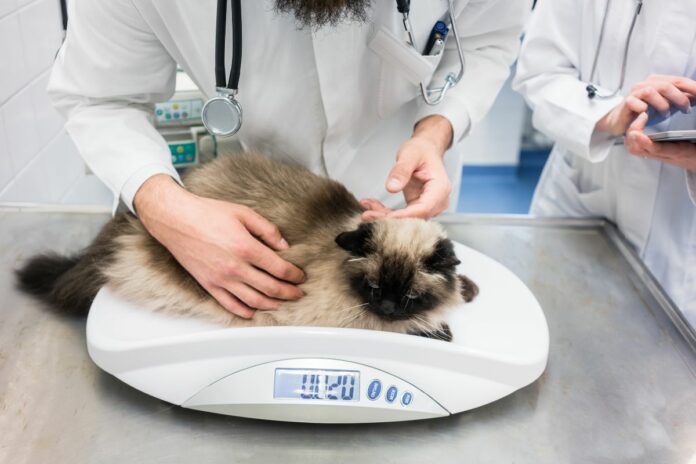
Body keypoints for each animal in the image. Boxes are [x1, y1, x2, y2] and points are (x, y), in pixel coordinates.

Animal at [16, 152, 476, 340]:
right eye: (376, 290)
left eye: (409, 295)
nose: (388, 308)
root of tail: (133, 223)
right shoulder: (348, 317)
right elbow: (418, 328)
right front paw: (441, 330)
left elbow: (460, 285)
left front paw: (467, 291)